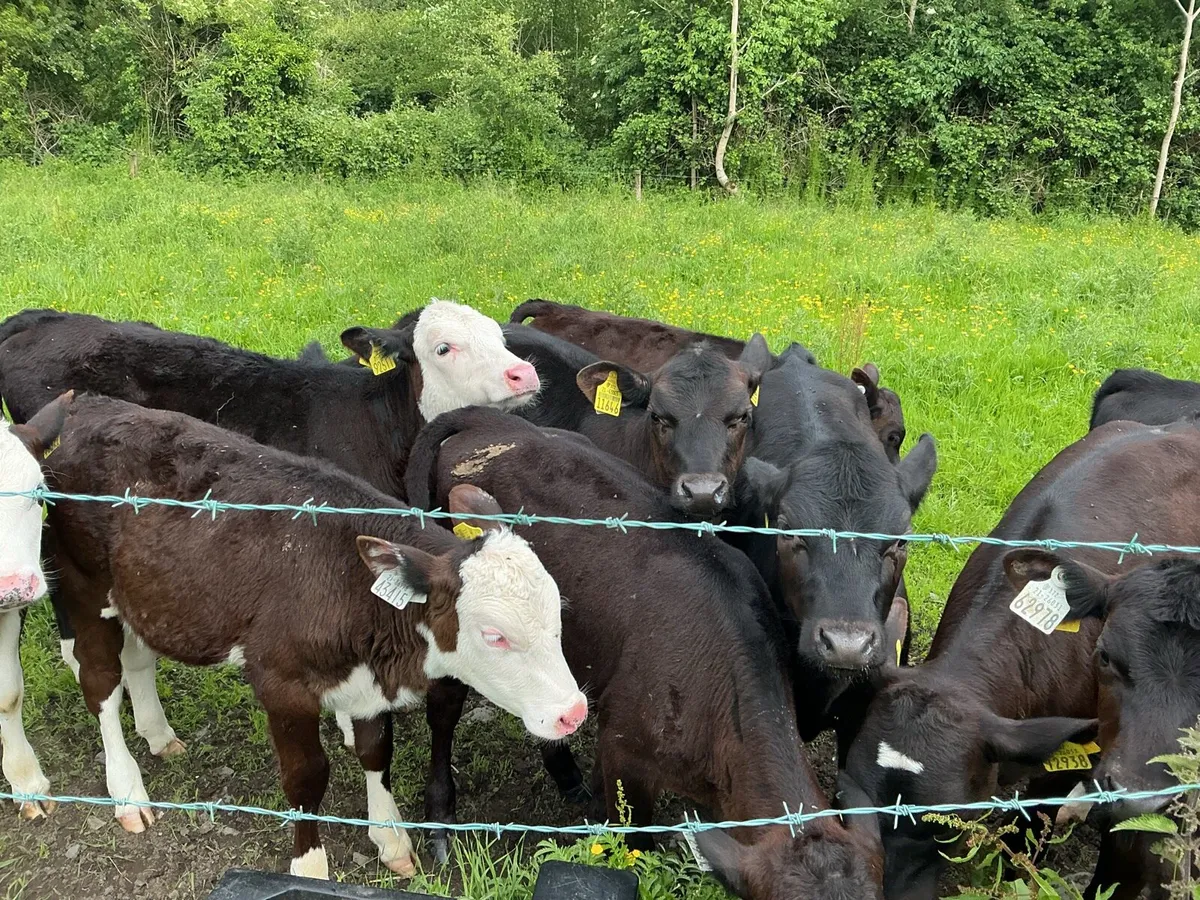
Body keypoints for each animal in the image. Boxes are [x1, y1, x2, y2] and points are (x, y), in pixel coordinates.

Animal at [44, 395, 585, 880]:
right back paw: (127, 791)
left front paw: (391, 839)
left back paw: (159, 735)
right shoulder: (281, 683)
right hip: (84, 588)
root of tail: (88, 406)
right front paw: (309, 866)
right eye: (494, 636)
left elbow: (377, 752)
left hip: (143, 594)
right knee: (100, 683)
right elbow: (306, 777)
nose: (573, 713)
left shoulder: (366, 678)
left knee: (138, 660)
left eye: (557, 613)